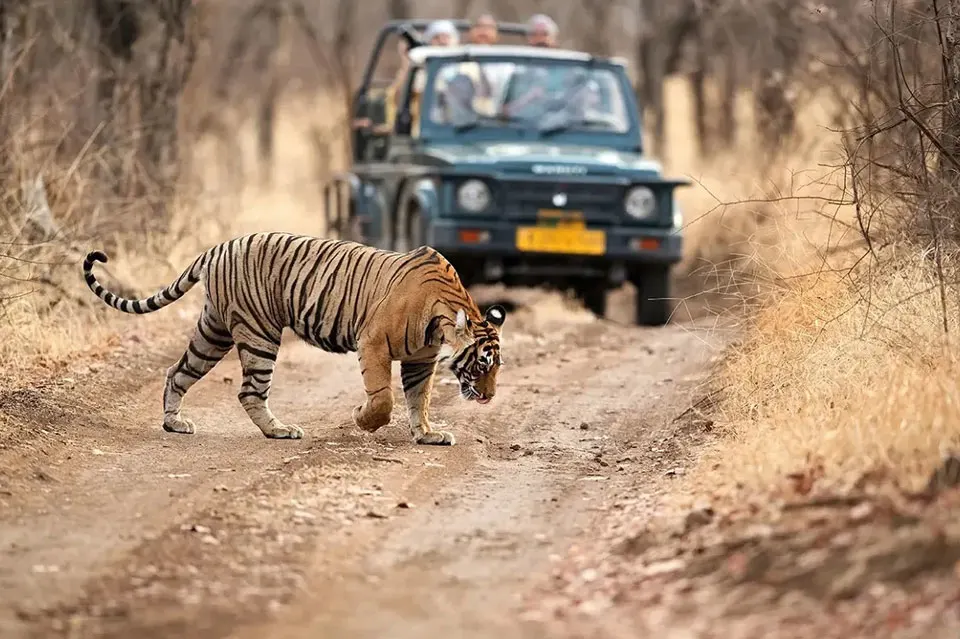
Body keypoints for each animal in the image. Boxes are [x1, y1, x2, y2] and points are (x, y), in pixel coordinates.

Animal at [81, 232, 506, 446]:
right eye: (481, 363)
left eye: (497, 366)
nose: (489, 397)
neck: (442, 318)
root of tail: (217, 247)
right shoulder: (373, 342)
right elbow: (384, 399)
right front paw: (363, 419)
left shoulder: (421, 359)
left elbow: (420, 399)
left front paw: (428, 434)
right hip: (259, 333)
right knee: (249, 391)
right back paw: (279, 431)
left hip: (213, 331)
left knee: (177, 371)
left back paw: (174, 423)